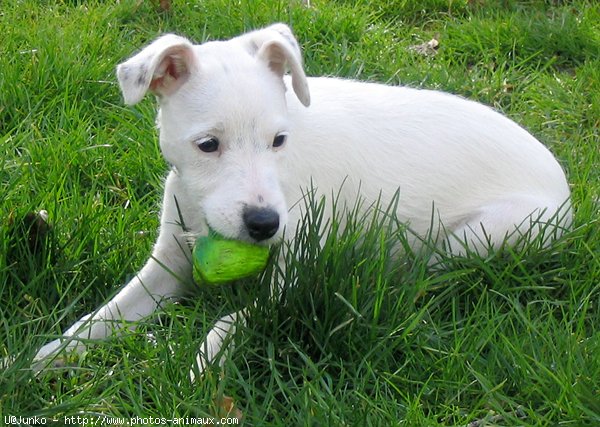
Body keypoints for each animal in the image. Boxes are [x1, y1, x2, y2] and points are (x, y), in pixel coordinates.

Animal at [31, 24, 572, 378]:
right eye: (207, 145)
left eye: (278, 140)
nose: (264, 224)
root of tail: (567, 191)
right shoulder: (168, 263)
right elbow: (105, 314)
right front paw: (47, 356)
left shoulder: (295, 271)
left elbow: (235, 317)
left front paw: (207, 360)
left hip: (486, 235)